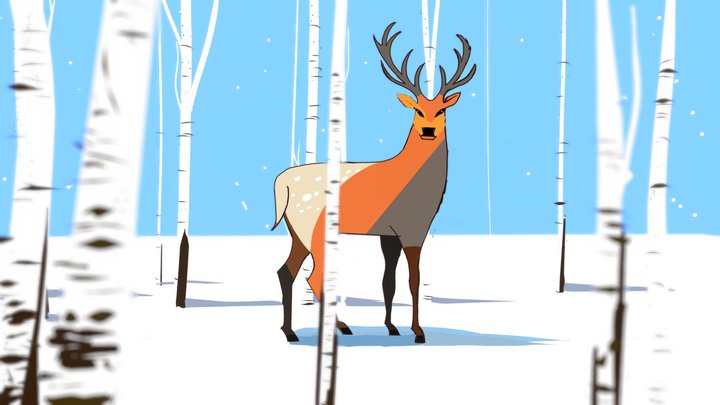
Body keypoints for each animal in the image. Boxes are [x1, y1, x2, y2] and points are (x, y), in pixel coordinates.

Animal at [272, 22, 476, 344]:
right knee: (312, 275)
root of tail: (282, 184)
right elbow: (413, 279)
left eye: (442, 110)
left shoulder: (387, 233)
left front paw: (392, 327)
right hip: (311, 227)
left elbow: (387, 280)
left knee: (285, 271)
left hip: (296, 231)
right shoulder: (413, 227)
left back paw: (290, 331)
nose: (428, 130)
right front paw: (418, 331)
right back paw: (340, 327)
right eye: (417, 110)